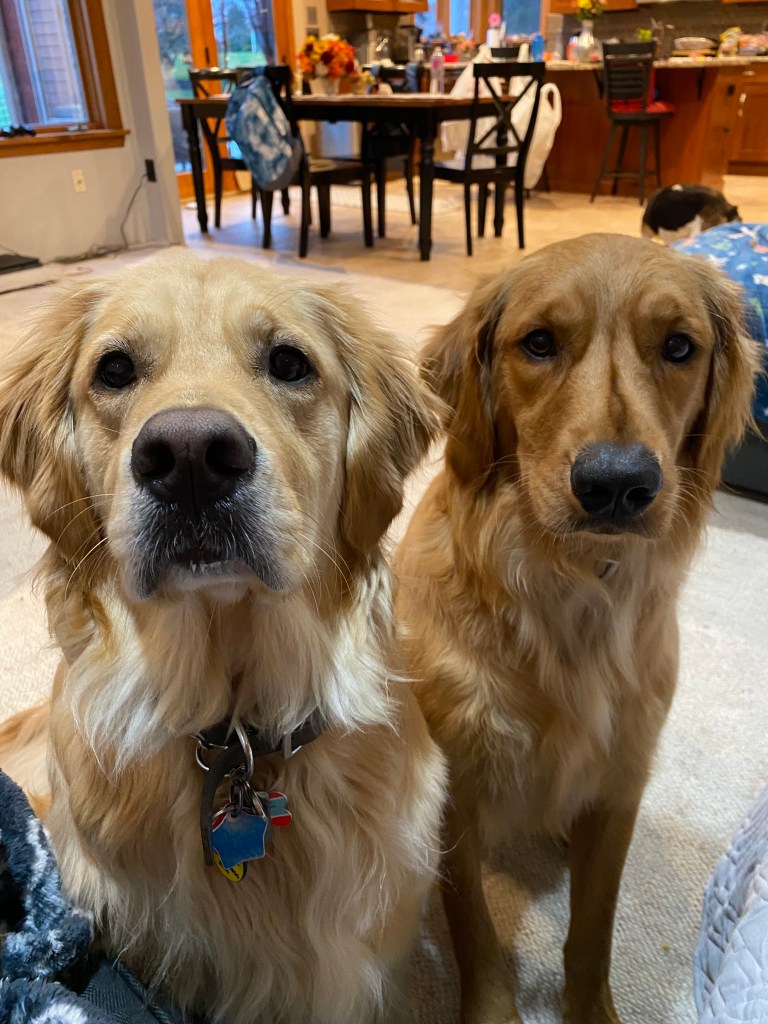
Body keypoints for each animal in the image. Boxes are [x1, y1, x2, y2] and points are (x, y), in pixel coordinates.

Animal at [394, 234, 760, 1024]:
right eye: (538, 343)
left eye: (679, 346)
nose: (617, 485)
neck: (569, 591)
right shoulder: (455, 794)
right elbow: (473, 925)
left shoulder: (619, 787)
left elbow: (595, 930)